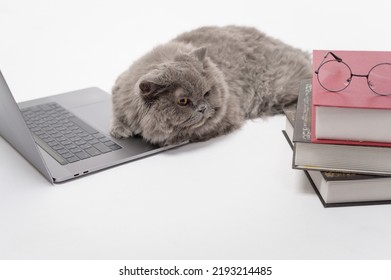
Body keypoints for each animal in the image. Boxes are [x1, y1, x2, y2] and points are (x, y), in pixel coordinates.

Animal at [110, 25, 312, 147]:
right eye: (183, 101)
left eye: (206, 93)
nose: (202, 108)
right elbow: (117, 116)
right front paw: (119, 130)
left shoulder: (226, 118)